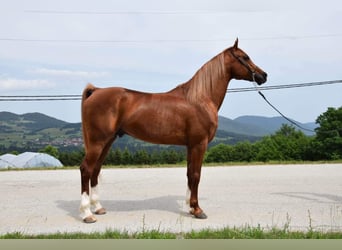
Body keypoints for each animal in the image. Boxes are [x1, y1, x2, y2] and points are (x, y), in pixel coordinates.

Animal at [79, 38, 268, 223]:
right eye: (244, 57)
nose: (263, 75)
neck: (200, 98)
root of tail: (96, 91)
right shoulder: (199, 144)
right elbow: (196, 175)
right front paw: (198, 210)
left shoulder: (191, 145)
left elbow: (189, 174)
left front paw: (190, 207)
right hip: (98, 142)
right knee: (86, 169)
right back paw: (87, 214)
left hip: (107, 141)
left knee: (95, 170)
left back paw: (98, 208)